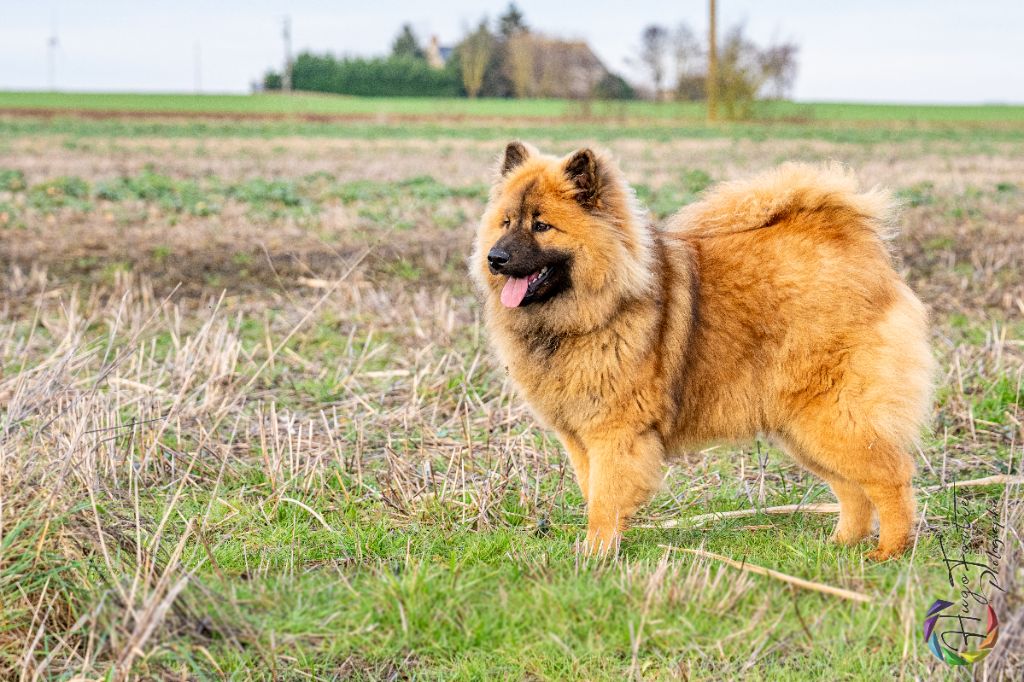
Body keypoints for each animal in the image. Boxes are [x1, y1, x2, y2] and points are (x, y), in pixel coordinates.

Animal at [471, 142, 937, 557]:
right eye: (506, 222)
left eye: (542, 226)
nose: (495, 258)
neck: (587, 312)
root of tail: (855, 245)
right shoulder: (580, 438)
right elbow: (594, 494)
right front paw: (602, 546)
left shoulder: (615, 434)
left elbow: (604, 501)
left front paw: (595, 554)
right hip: (803, 427)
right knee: (851, 487)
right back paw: (841, 545)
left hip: (833, 415)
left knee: (891, 476)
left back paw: (889, 552)